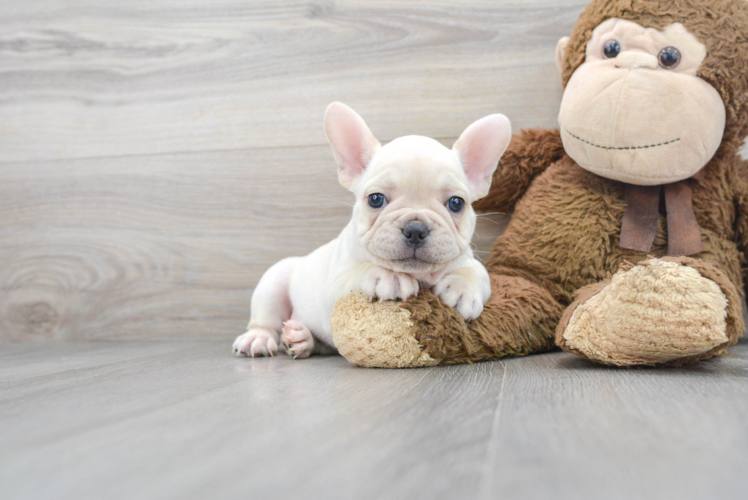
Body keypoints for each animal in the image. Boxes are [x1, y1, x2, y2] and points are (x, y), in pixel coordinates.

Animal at [234, 102, 512, 360]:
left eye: (456, 203)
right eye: (376, 199)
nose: (415, 229)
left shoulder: (468, 260)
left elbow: (475, 272)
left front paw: (462, 288)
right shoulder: (334, 286)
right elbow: (360, 271)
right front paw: (389, 277)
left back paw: (301, 339)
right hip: (274, 281)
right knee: (265, 319)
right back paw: (259, 338)